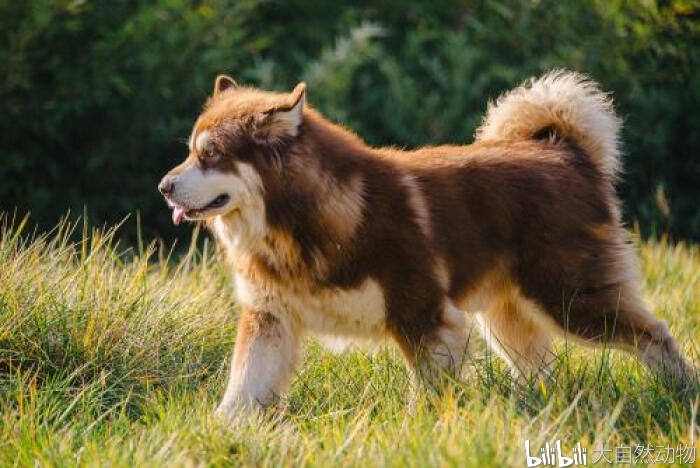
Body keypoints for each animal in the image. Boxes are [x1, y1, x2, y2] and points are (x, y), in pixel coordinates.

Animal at [160, 71, 696, 414]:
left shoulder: (424, 318)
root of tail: (567, 152)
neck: (300, 223)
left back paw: (682, 393)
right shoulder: (270, 318)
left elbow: (430, 395)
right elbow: (241, 391)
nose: (164, 186)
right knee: (540, 371)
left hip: (571, 301)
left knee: (655, 335)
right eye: (190, 151)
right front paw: (220, 433)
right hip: (507, 318)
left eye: (211, 155)